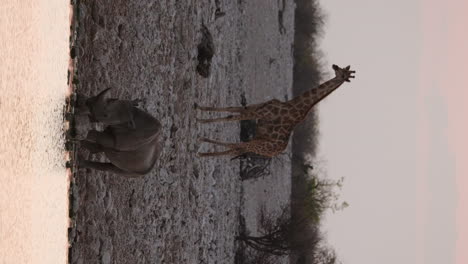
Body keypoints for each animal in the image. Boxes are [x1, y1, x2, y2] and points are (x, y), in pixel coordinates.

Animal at [197, 64, 354, 158]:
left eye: (343, 74)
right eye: (340, 69)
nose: (334, 65)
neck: (292, 104)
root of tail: (274, 152)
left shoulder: (259, 112)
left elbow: (231, 117)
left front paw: (201, 121)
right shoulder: (256, 107)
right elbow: (231, 109)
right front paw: (200, 108)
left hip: (257, 145)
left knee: (236, 145)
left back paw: (203, 148)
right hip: (255, 142)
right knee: (236, 149)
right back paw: (205, 154)